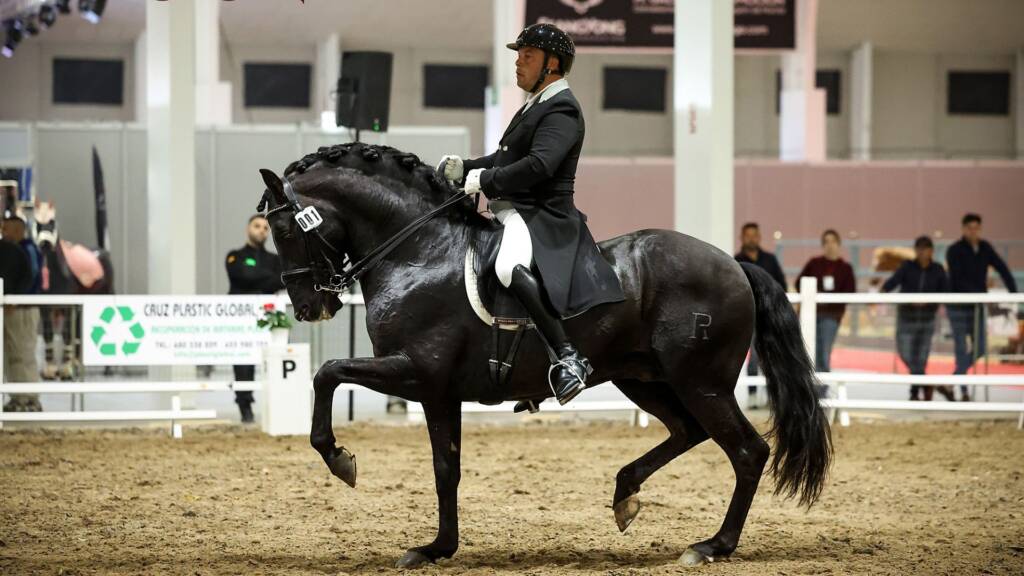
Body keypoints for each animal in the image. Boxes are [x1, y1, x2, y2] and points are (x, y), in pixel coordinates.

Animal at [257, 143, 832, 568]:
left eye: (283, 229)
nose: (309, 306)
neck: (419, 252)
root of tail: (735, 264)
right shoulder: (438, 392)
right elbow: (446, 468)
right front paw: (438, 548)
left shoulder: (415, 372)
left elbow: (327, 373)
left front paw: (340, 459)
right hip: (642, 379)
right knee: (687, 431)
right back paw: (626, 494)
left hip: (702, 382)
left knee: (747, 451)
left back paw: (713, 545)